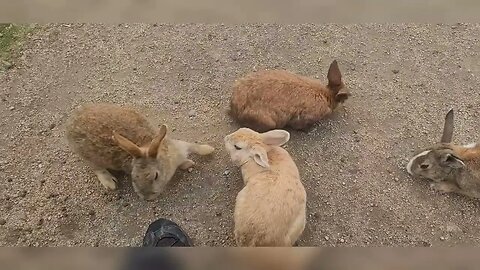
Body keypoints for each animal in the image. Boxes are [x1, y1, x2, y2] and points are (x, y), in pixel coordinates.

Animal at [64, 103, 215, 200]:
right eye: (133, 177)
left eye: (155, 176)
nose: (147, 198)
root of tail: (71, 124)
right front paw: (190, 163)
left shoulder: (179, 147)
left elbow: (194, 147)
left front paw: (208, 150)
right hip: (90, 157)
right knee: (97, 169)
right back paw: (110, 183)